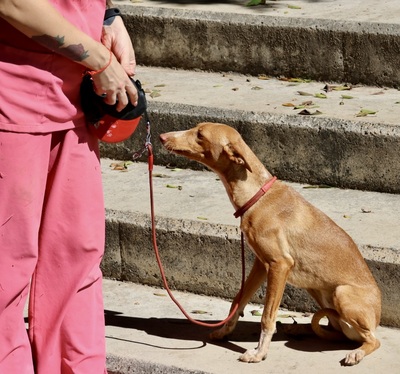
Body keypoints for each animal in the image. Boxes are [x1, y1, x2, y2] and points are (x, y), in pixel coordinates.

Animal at [159, 122, 382, 366]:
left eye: (200, 135)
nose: (161, 136)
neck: (257, 196)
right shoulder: (261, 264)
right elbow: (238, 300)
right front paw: (225, 332)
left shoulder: (280, 264)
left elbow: (267, 316)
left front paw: (259, 353)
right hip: (315, 288)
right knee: (336, 331)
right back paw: (299, 329)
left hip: (341, 293)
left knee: (373, 340)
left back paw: (356, 352)